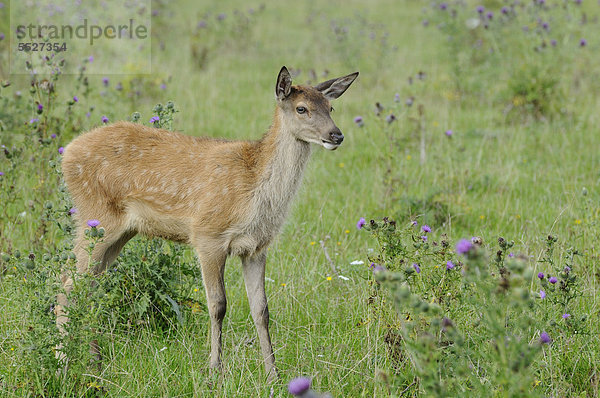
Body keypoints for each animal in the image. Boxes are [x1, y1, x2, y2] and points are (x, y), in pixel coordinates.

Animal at [57, 67, 356, 380]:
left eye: (330, 107)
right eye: (301, 108)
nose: (336, 135)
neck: (254, 192)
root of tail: (68, 152)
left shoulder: (256, 247)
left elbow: (261, 309)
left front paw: (273, 373)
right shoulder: (208, 235)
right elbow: (218, 305)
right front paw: (215, 370)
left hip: (121, 232)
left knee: (90, 287)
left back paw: (95, 364)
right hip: (95, 216)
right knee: (68, 284)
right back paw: (62, 364)